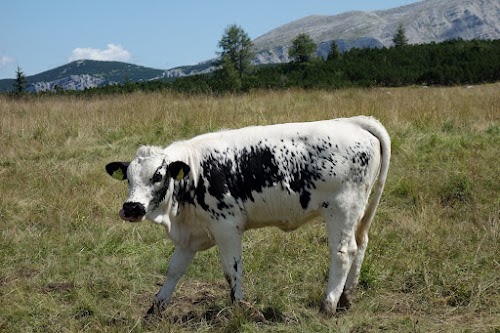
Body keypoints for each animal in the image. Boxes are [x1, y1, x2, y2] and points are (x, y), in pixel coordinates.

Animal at [105, 115, 390, 316]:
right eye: (128, 177)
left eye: (158, 175)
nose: (132, 208)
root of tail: (352, 121)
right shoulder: (191, 235)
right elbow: (174, 270)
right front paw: (155, 309)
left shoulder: (227, 228)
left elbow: (232, 270)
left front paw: (238, 309)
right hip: (358, 212)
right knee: (361, 244)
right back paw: (346, 298)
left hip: (341, 209)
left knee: (343, 252)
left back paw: (328, 305)